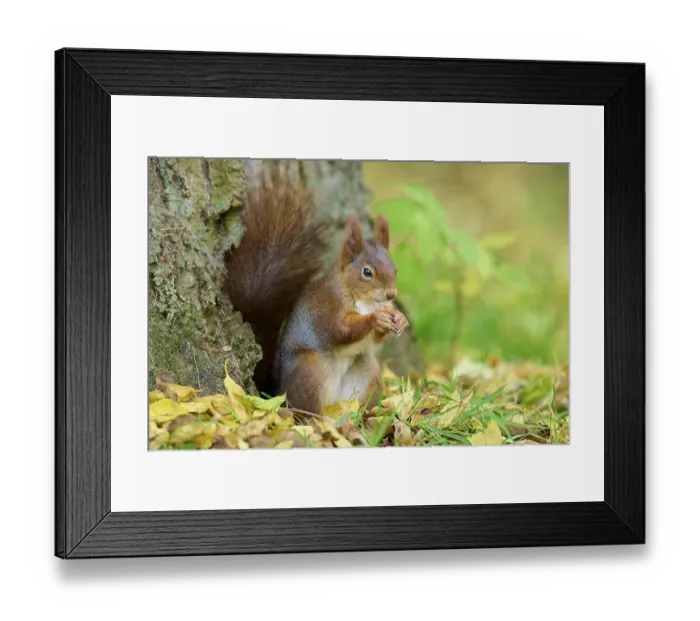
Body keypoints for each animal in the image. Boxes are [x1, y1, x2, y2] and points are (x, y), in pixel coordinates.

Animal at [224, 177, 409, 414]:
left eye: (395, 269)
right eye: (367, 272)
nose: (391, 294)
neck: (365, 300)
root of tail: (277, 390)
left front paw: (400, 319)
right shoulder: (326, 307)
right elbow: (340, 329)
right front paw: (375, 319)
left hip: (366, 371)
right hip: (313, 368)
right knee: (304, 409)